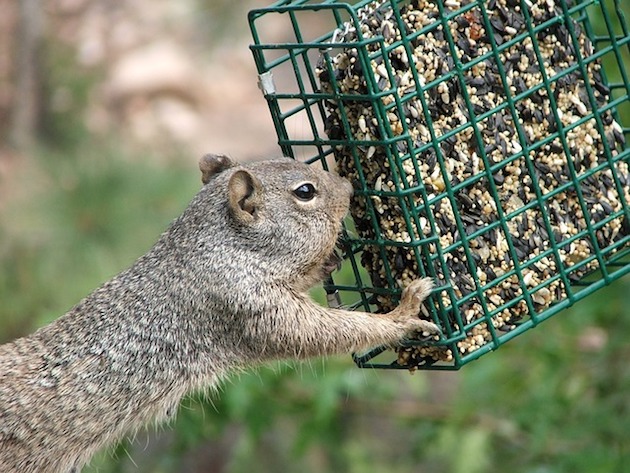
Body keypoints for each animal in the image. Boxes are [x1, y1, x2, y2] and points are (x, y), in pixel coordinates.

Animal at [0, 153, 440, 470]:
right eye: (305, 191)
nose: (349, 186)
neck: (215, 249)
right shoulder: (246, 303)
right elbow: (319, 332)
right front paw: (402, 316)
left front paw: (326, 263)